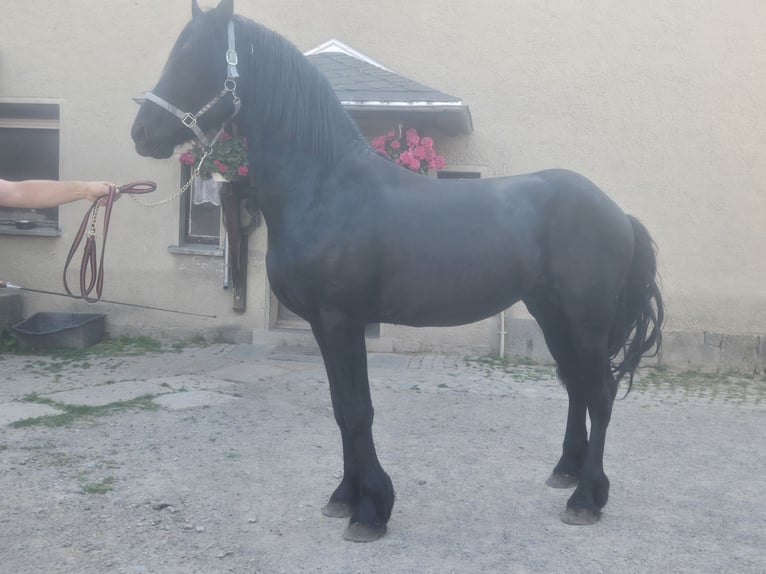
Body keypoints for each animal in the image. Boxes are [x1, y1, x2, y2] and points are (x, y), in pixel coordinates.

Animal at [131, 0, 664, 542]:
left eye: (195, 58)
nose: (142, 132)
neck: (326, 188)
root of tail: (617, 212)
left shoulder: (343, 320)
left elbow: (358, 410)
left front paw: (371, 510)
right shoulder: (321, 325)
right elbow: (340, 407)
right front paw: (344, 497)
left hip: (585, 320)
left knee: (601, 393)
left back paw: (587, 498)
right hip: (551, 313)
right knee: (577, 385)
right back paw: (566, 472)